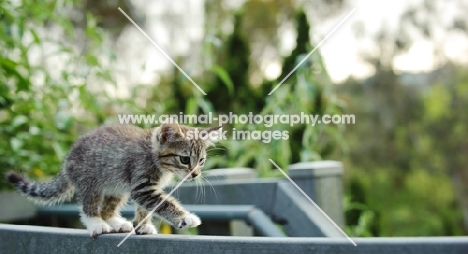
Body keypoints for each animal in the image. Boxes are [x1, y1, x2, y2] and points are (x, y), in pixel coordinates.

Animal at [6, 120, 220, 237]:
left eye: (201, 161)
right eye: (184, 159)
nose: (195, 174)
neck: (152, 153)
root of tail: (67, 161)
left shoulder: (144, 187)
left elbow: (145, 207)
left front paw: (142, 225)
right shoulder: (141, 184)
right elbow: (163, 202)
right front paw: (185, 217)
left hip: (116, 186)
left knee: (107, 208)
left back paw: (116, 222)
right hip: (90, 180)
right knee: (89, 205)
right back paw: (96, 223)